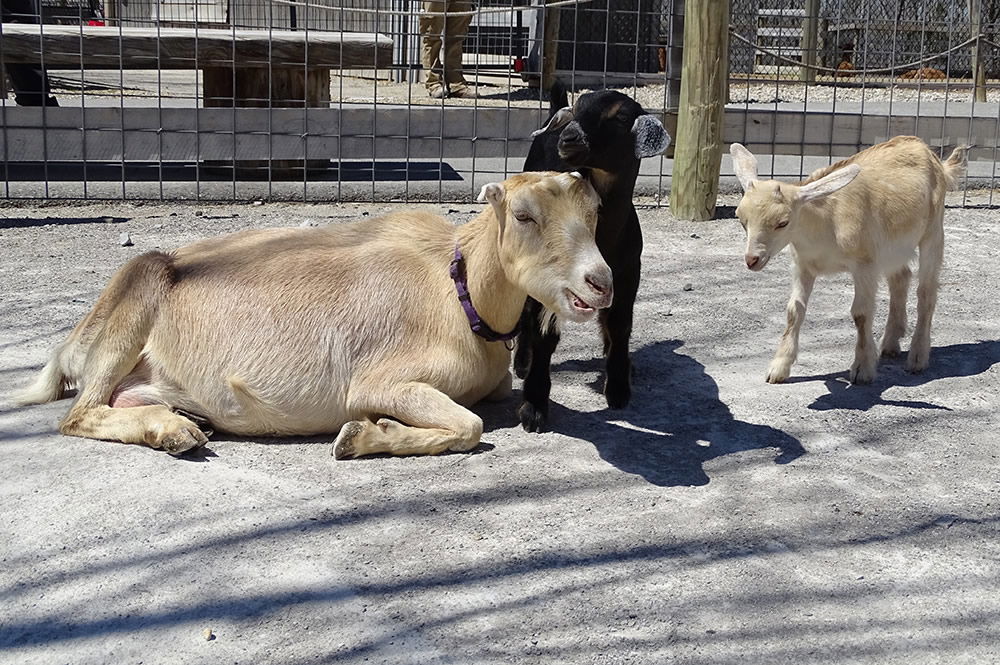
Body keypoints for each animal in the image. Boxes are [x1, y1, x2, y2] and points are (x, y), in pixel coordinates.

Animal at [13, 171, 608, 456]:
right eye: (524, 215)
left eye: (596, 213)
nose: (600, 282)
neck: (459, 293)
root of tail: (72, 343)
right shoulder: (379, 381)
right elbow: (469, 425)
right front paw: (362, 437)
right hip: (136, 299)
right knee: (79, 413)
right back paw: (175, 431)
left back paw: (182, 421)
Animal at [728, 136, 968, 384]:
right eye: (740, 219)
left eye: (783, 222)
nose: (752, 259)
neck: (825, 225)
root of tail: (929, 153)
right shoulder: (803, 265)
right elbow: (794, 310)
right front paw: (778, 368)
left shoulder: (865, 265)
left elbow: (861, 314)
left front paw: (862, 369)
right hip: (893, 247)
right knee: (901, 278)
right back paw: (890, 344)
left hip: (933, 231)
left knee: (926, 292)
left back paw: (917, 358)